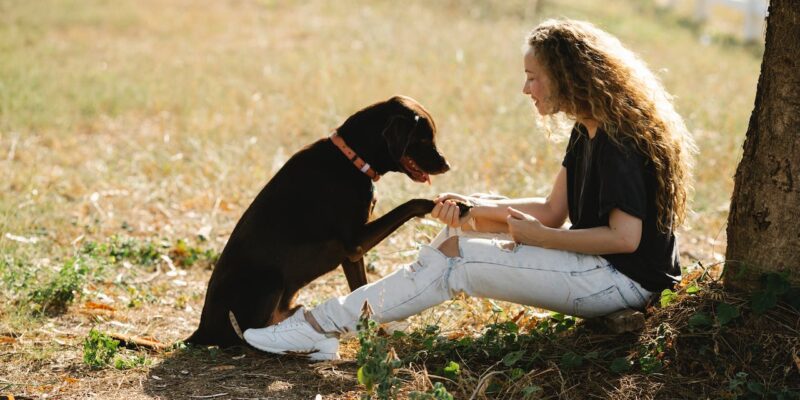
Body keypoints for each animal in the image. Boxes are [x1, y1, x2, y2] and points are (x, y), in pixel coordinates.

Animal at [184, 95, 454, 346]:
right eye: (423, 139)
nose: (447, 165)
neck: (351, 158)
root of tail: (200, 330)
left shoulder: (352, 255)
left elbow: (362, 294)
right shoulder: (356, 241)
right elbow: (412, 204)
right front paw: (446, 205)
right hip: (270, 281)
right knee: (248, 333)